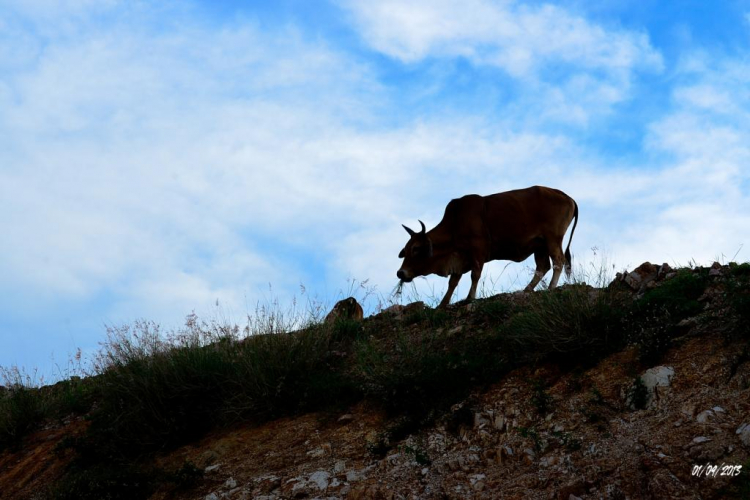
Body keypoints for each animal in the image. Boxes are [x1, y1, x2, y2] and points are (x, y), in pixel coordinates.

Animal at [400, 185, 580, 306]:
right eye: (406, 250)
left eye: (416, 249)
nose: (400, 273)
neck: (455, 221)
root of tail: (567, 197)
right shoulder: (460, 257)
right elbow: (453, 281)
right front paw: (443, 304)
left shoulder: (478, 251)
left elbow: (474, 275)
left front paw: (470, 298)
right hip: (540, 245)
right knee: (543, 266)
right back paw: (527, 290)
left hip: (553, 239)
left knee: (558, 261)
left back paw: (550, 287)